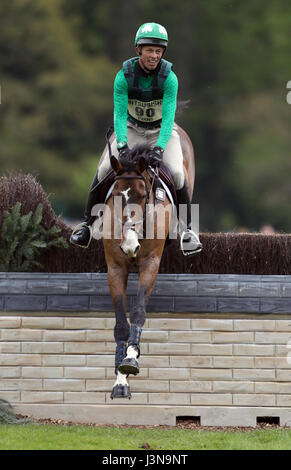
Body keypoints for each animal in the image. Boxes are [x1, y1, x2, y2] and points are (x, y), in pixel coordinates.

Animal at [100, 124, 196, 396]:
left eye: (144, 196)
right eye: (116, 195)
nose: (129, 246)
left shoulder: (151, 264)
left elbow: (139, 311)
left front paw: (131, 359)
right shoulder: (116, 268)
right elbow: (121, 323)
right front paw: (120, 379)